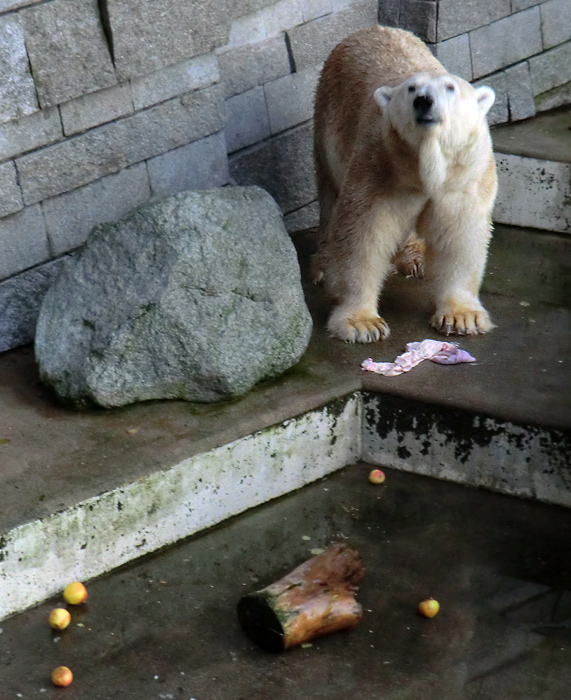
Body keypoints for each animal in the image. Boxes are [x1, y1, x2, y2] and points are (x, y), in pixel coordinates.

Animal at [312, 26, 496, 344]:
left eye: (450, 88)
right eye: (411, 89)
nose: (423, 101)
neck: (425, 164)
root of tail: (367, 29)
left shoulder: (463, 178)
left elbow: (460, 235)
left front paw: (462, 316)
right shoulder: (381, 167)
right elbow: (365, 235)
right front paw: (361, 323)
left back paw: (415, 259)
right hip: (330, 122)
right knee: (331, 194)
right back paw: (323, 264)